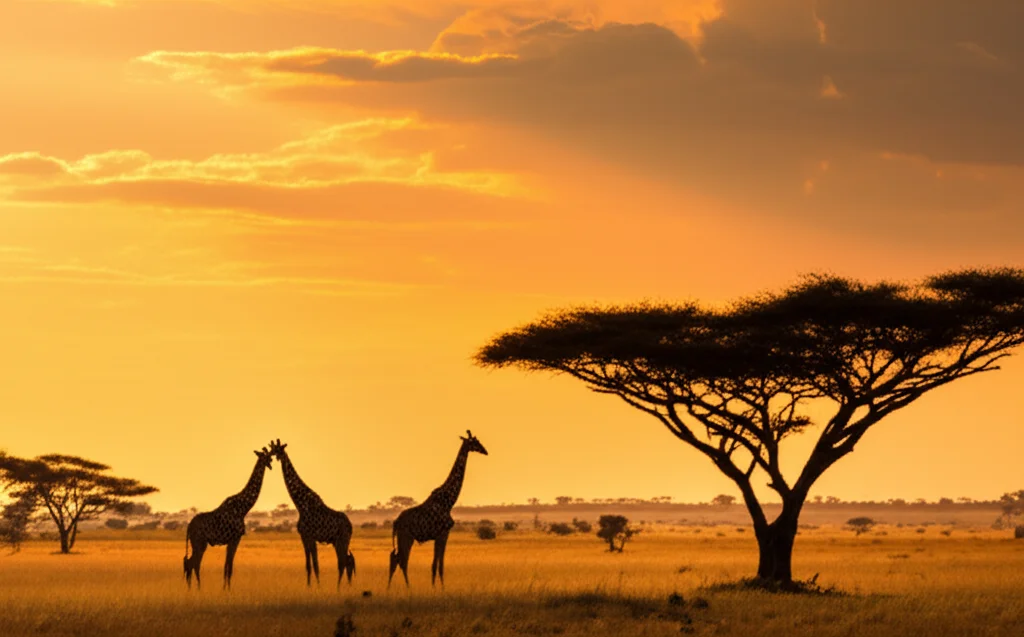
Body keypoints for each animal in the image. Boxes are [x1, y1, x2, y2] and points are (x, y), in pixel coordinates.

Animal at [183, 447, 273, 590]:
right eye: (267, 457)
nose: (270, 464)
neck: (243, 508)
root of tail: (189, 527)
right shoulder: (235, 538)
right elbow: (229, 567)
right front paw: (228, 589)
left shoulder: (231, 540)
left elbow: (226, 566)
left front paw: (225, 588)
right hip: (199, 542)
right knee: (193, 563)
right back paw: (197, 588)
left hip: (198, 543)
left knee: (191, 562)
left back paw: (192, 588)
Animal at [268, 438, 355, 588]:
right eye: (272, 448)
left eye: (277, 449)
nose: (271, 455)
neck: (301, 505)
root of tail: (350, 525)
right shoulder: (304, 537)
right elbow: (308, 565)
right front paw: (308, 586)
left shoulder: (311, 536)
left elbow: (316, 564)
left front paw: (318, 587)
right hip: (337, 541)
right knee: (347, 561)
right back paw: (346, 585)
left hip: (342, 539)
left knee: (343, 562)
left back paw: (338, 588)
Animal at [388, 430, 488, 589]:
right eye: (475, 442)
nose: (485, 451)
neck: (448, 502)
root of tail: (396, 522)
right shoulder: (444, 533)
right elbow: (440, 564)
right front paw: (440, 588)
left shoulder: (438, 535)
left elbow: (435, 564)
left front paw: (435, 587)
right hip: (406, 537)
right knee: (402, 561)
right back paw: (408, 588)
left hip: (404, 537)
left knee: (395, 559)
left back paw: (390, 588)